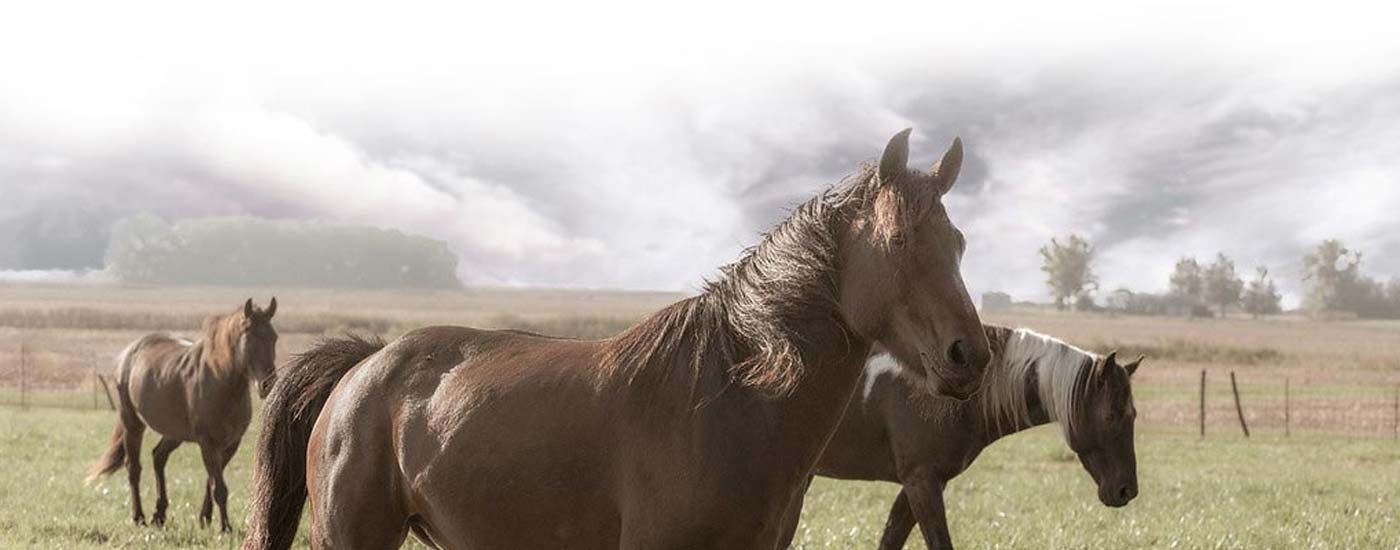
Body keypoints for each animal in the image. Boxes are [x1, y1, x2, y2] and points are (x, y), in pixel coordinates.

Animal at [88, 298, 280, 532]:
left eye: (273, 337)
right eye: (250, 337)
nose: (268, 384)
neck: (221, 382)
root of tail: (129, 352)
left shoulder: (230, 445)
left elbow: (211, 482)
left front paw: (205, 519)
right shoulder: (208, 443)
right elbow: (219, 488)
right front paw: (225, 527)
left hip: (174, 433)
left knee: (158, 457)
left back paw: (159, 515)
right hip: (132, 423)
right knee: (134, 468)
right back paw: (139, 517)